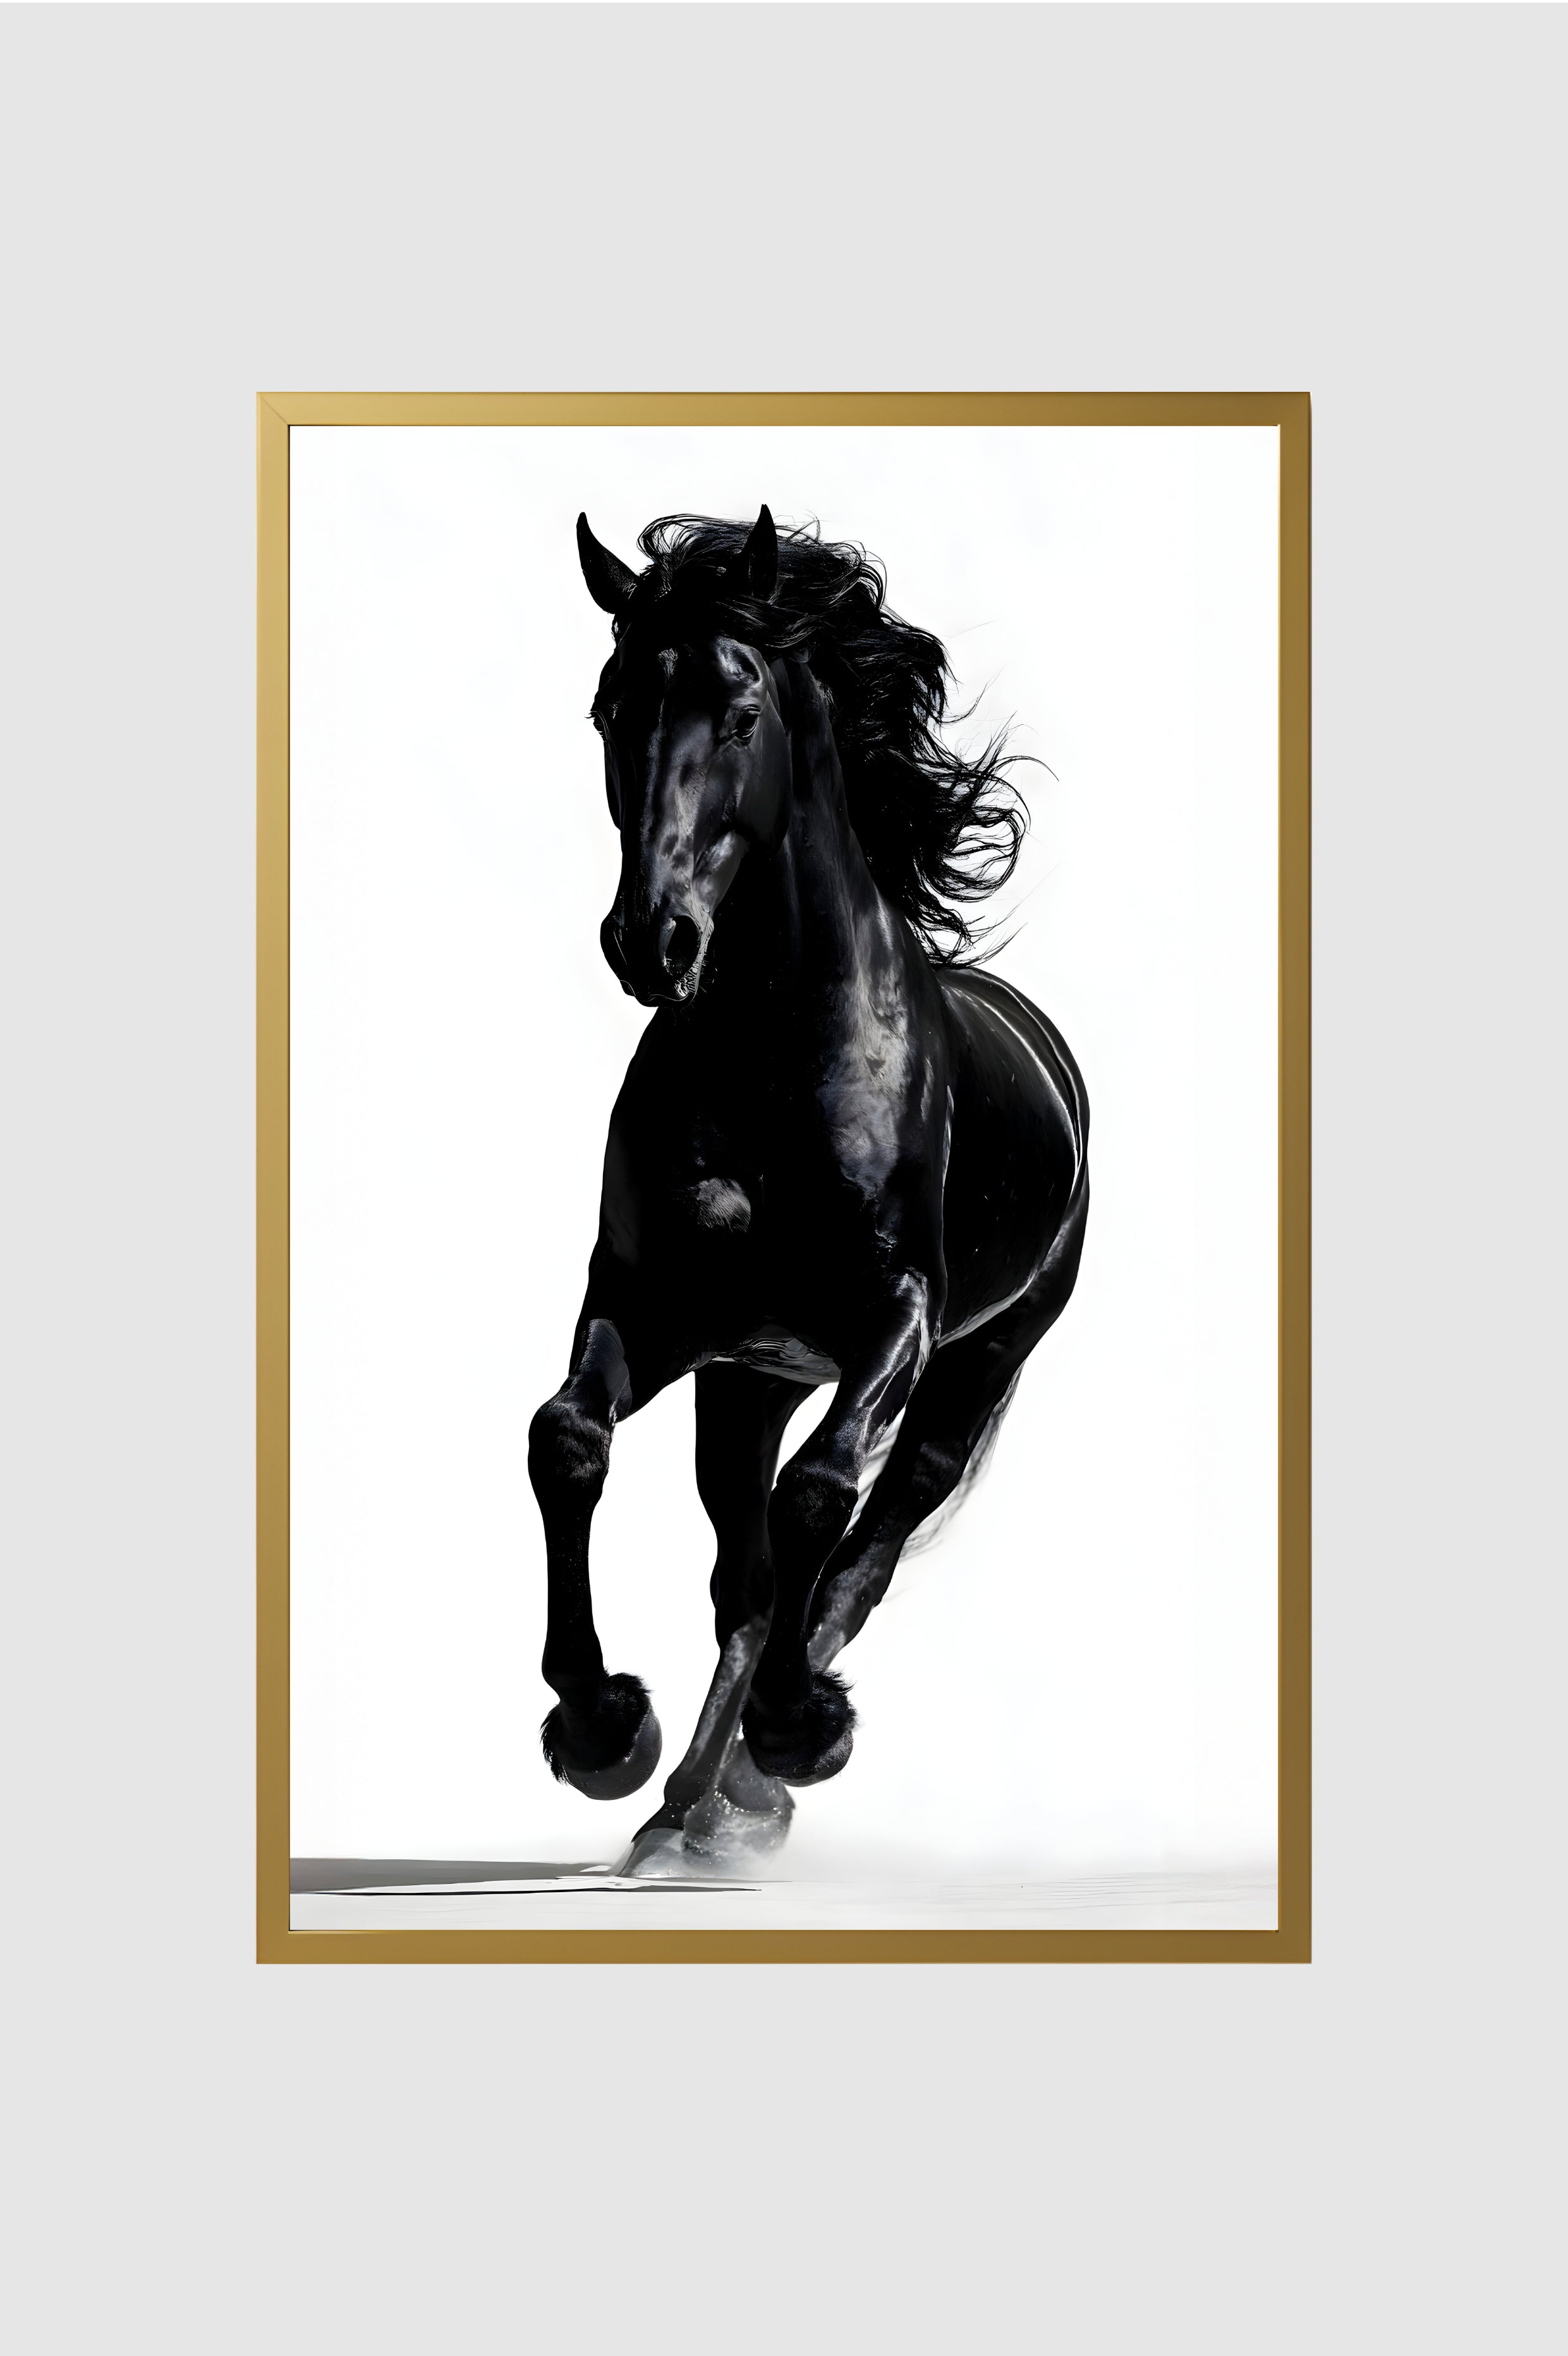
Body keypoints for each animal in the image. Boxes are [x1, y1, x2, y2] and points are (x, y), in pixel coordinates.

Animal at [528, 503, 1089, 1874]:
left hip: (973, 1373)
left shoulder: (897, 1318)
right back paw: (683, 1806)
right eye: (610, 705)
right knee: (745, 1573)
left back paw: (759, 1778)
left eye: (740, 713)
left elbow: (825, 1496)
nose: (651, 940)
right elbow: (566, 1437)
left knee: (855, 1549)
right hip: (746, 1379)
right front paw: (599, 1729)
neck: (774, 1055)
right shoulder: (651, 1307)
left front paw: (796, 1734)